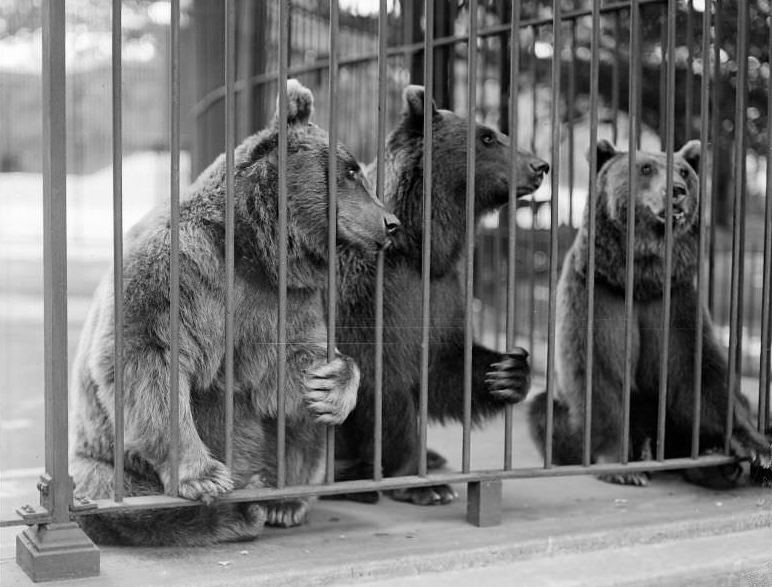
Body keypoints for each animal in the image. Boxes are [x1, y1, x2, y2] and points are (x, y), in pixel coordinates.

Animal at [69, 79, 402, 548]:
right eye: (352, 170)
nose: (391, 222)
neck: (253, 245)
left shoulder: (280, 298)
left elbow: (287, 360)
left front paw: (331, 383)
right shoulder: (181, 272)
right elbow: (147, 355)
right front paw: (204, 476)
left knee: (301, 430)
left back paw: (283, 500)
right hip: (103, 464)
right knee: (121, 501)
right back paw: (240, 508)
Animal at [334, 85, 552, 504]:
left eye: (497, 132)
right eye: (487, 137)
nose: (540, 166)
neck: (419, 245)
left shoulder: (444, 289)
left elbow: (444, 364)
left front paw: (508, 371)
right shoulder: (366, 295)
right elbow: (381, 383)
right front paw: (423, 484)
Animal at [528, 139, 772, 486]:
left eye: (684, 171)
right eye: (646, 167)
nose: (678, 190)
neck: (641, 277)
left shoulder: (675, 302)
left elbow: (704, 375)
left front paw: (759, 449)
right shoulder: (598, 294)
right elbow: (599, 371)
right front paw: (622, 469)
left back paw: (713, 462)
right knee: (544, 411)